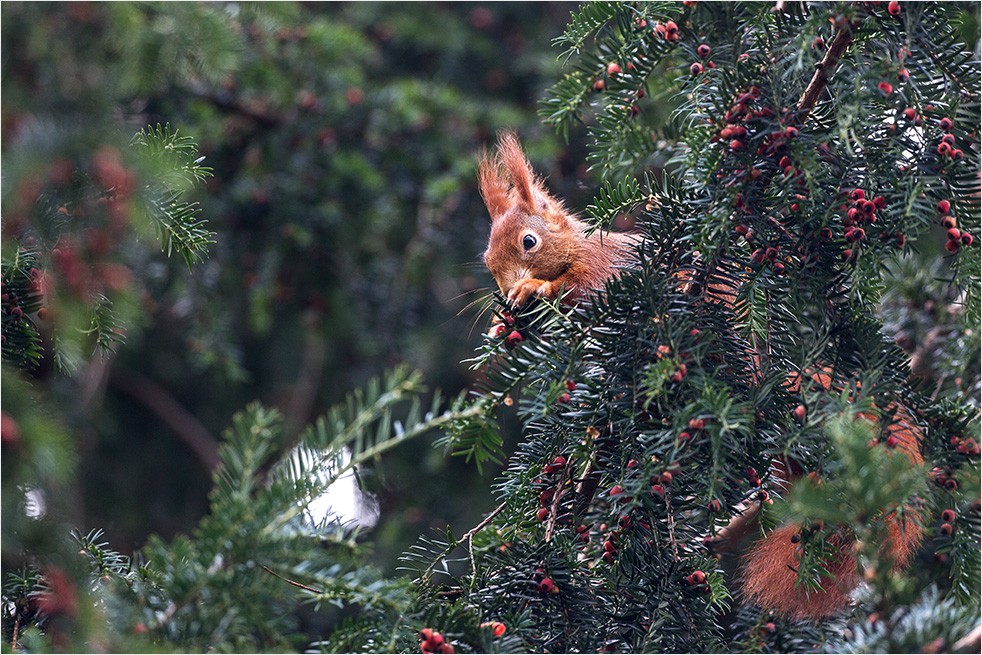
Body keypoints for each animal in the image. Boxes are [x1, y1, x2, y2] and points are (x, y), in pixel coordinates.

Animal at [476, 132, 924, 620]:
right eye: (487, 258)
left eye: (529, 241)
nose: (504, 289)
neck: (578, 248)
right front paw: (500, 324)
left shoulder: (609, 271)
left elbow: (584, 287)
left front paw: (534, 288)